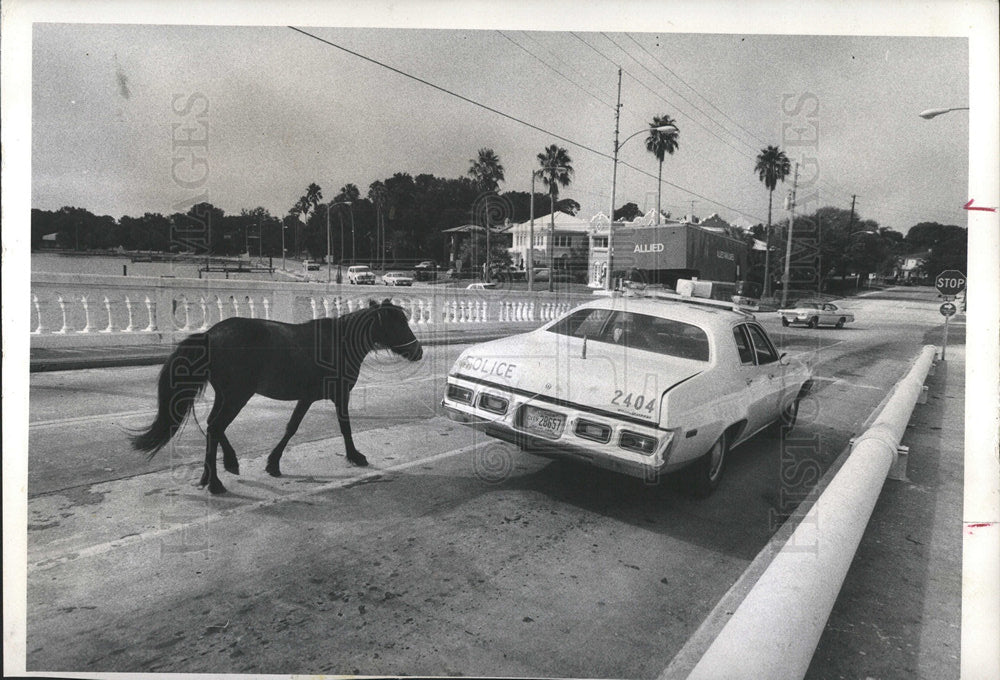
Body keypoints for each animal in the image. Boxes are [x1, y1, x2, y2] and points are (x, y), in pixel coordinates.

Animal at [132, 298, 422, 494]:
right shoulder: (340, 395)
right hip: (237, 395)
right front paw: (355, 455)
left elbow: (291, 427)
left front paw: (273, 463)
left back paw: (216, 470)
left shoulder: (307, 397)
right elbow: (344, 427)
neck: (339, 342)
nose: (418, 351)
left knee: (214, 427)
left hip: (227, 395)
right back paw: (216, 480)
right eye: (398, 324)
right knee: (215, 427)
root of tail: (209, 335)